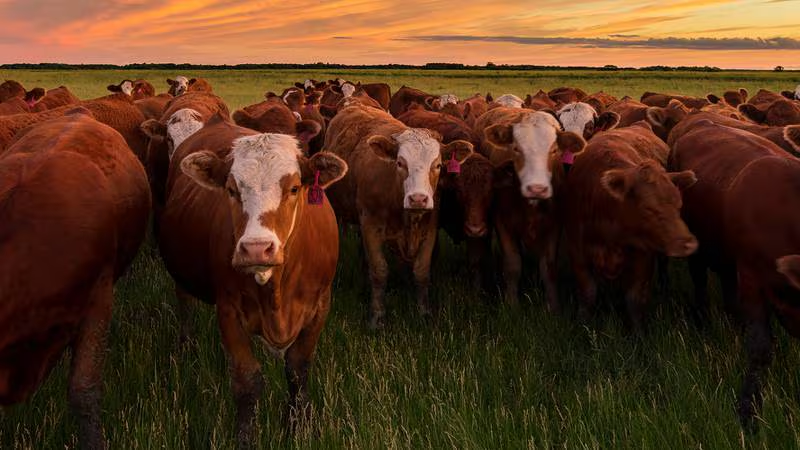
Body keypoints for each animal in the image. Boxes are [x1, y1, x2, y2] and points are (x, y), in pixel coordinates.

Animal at [158, 117, 347, 447]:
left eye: (294, 188)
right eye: (231, 190)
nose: (256, 248)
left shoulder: (320, 306)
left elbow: (297, 369)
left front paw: (298, 425)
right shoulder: (229, 311)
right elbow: (247, 380)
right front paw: (245, 438)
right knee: (185, 303)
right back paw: (186, 346)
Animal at [324, 104, 473, 328]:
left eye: (438, 165)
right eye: (400, 163)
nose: (418, 198)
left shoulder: (429, 230)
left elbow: (421, 271)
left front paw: (424, 312)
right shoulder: (371, 226)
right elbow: (379, 271)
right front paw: (377, 316)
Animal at [476, 108, 586, 309]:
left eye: (554, 150)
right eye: (516, 149)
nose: (537, 188)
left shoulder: (554, 225)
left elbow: (548, 268)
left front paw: (553, 306)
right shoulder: (502, 223)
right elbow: (512, 265)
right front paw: (511, 304)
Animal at [562, 121, 697, 330]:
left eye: (679, 204)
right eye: (648, 208)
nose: (688, 243)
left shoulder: (643, 256)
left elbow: (634, 300)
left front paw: (638, 334)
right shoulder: (577, 253)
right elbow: (587, 293)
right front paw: (582, 324)